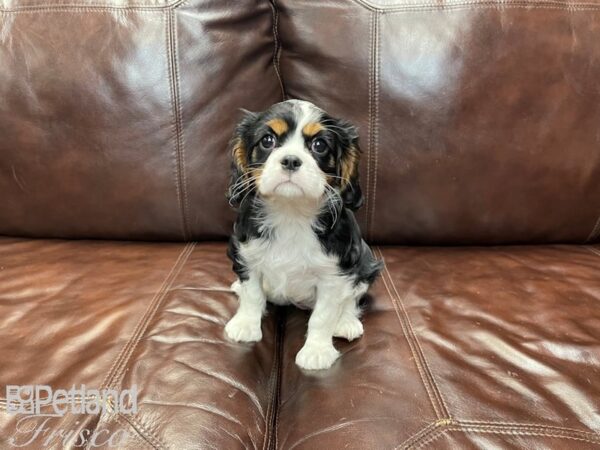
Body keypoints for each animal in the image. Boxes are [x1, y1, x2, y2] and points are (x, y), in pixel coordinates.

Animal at [223, 100, 382, 370]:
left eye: (319, 145)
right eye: (267, 140)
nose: (290, 160)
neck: (291, 212)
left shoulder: (334, 274)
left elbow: (323, 316)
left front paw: (317, 351)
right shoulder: (246, 256)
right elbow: (253, 294)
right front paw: (245, 325)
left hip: (365, 261)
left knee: (353, 298)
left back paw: (347, 322)